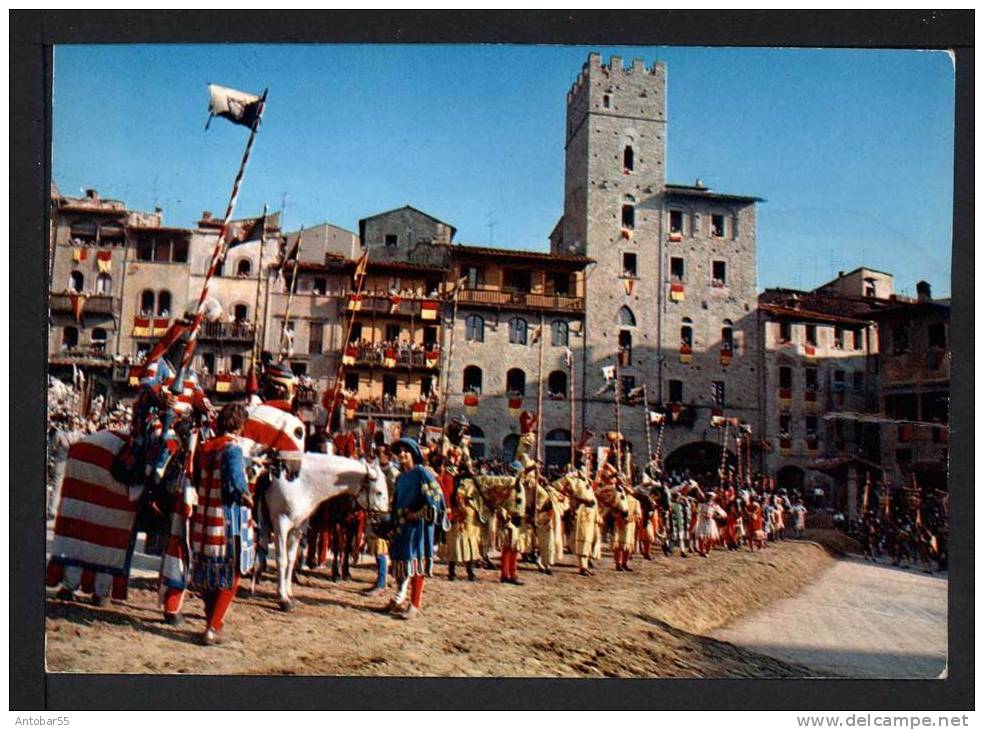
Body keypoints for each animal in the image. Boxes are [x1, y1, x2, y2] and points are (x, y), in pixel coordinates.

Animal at [264, 452, 390, 604]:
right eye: (379, 492)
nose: (385, 520)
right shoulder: (282, 524)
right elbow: (283, 558)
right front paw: (283, 596)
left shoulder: (299, 527)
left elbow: (291, 558)